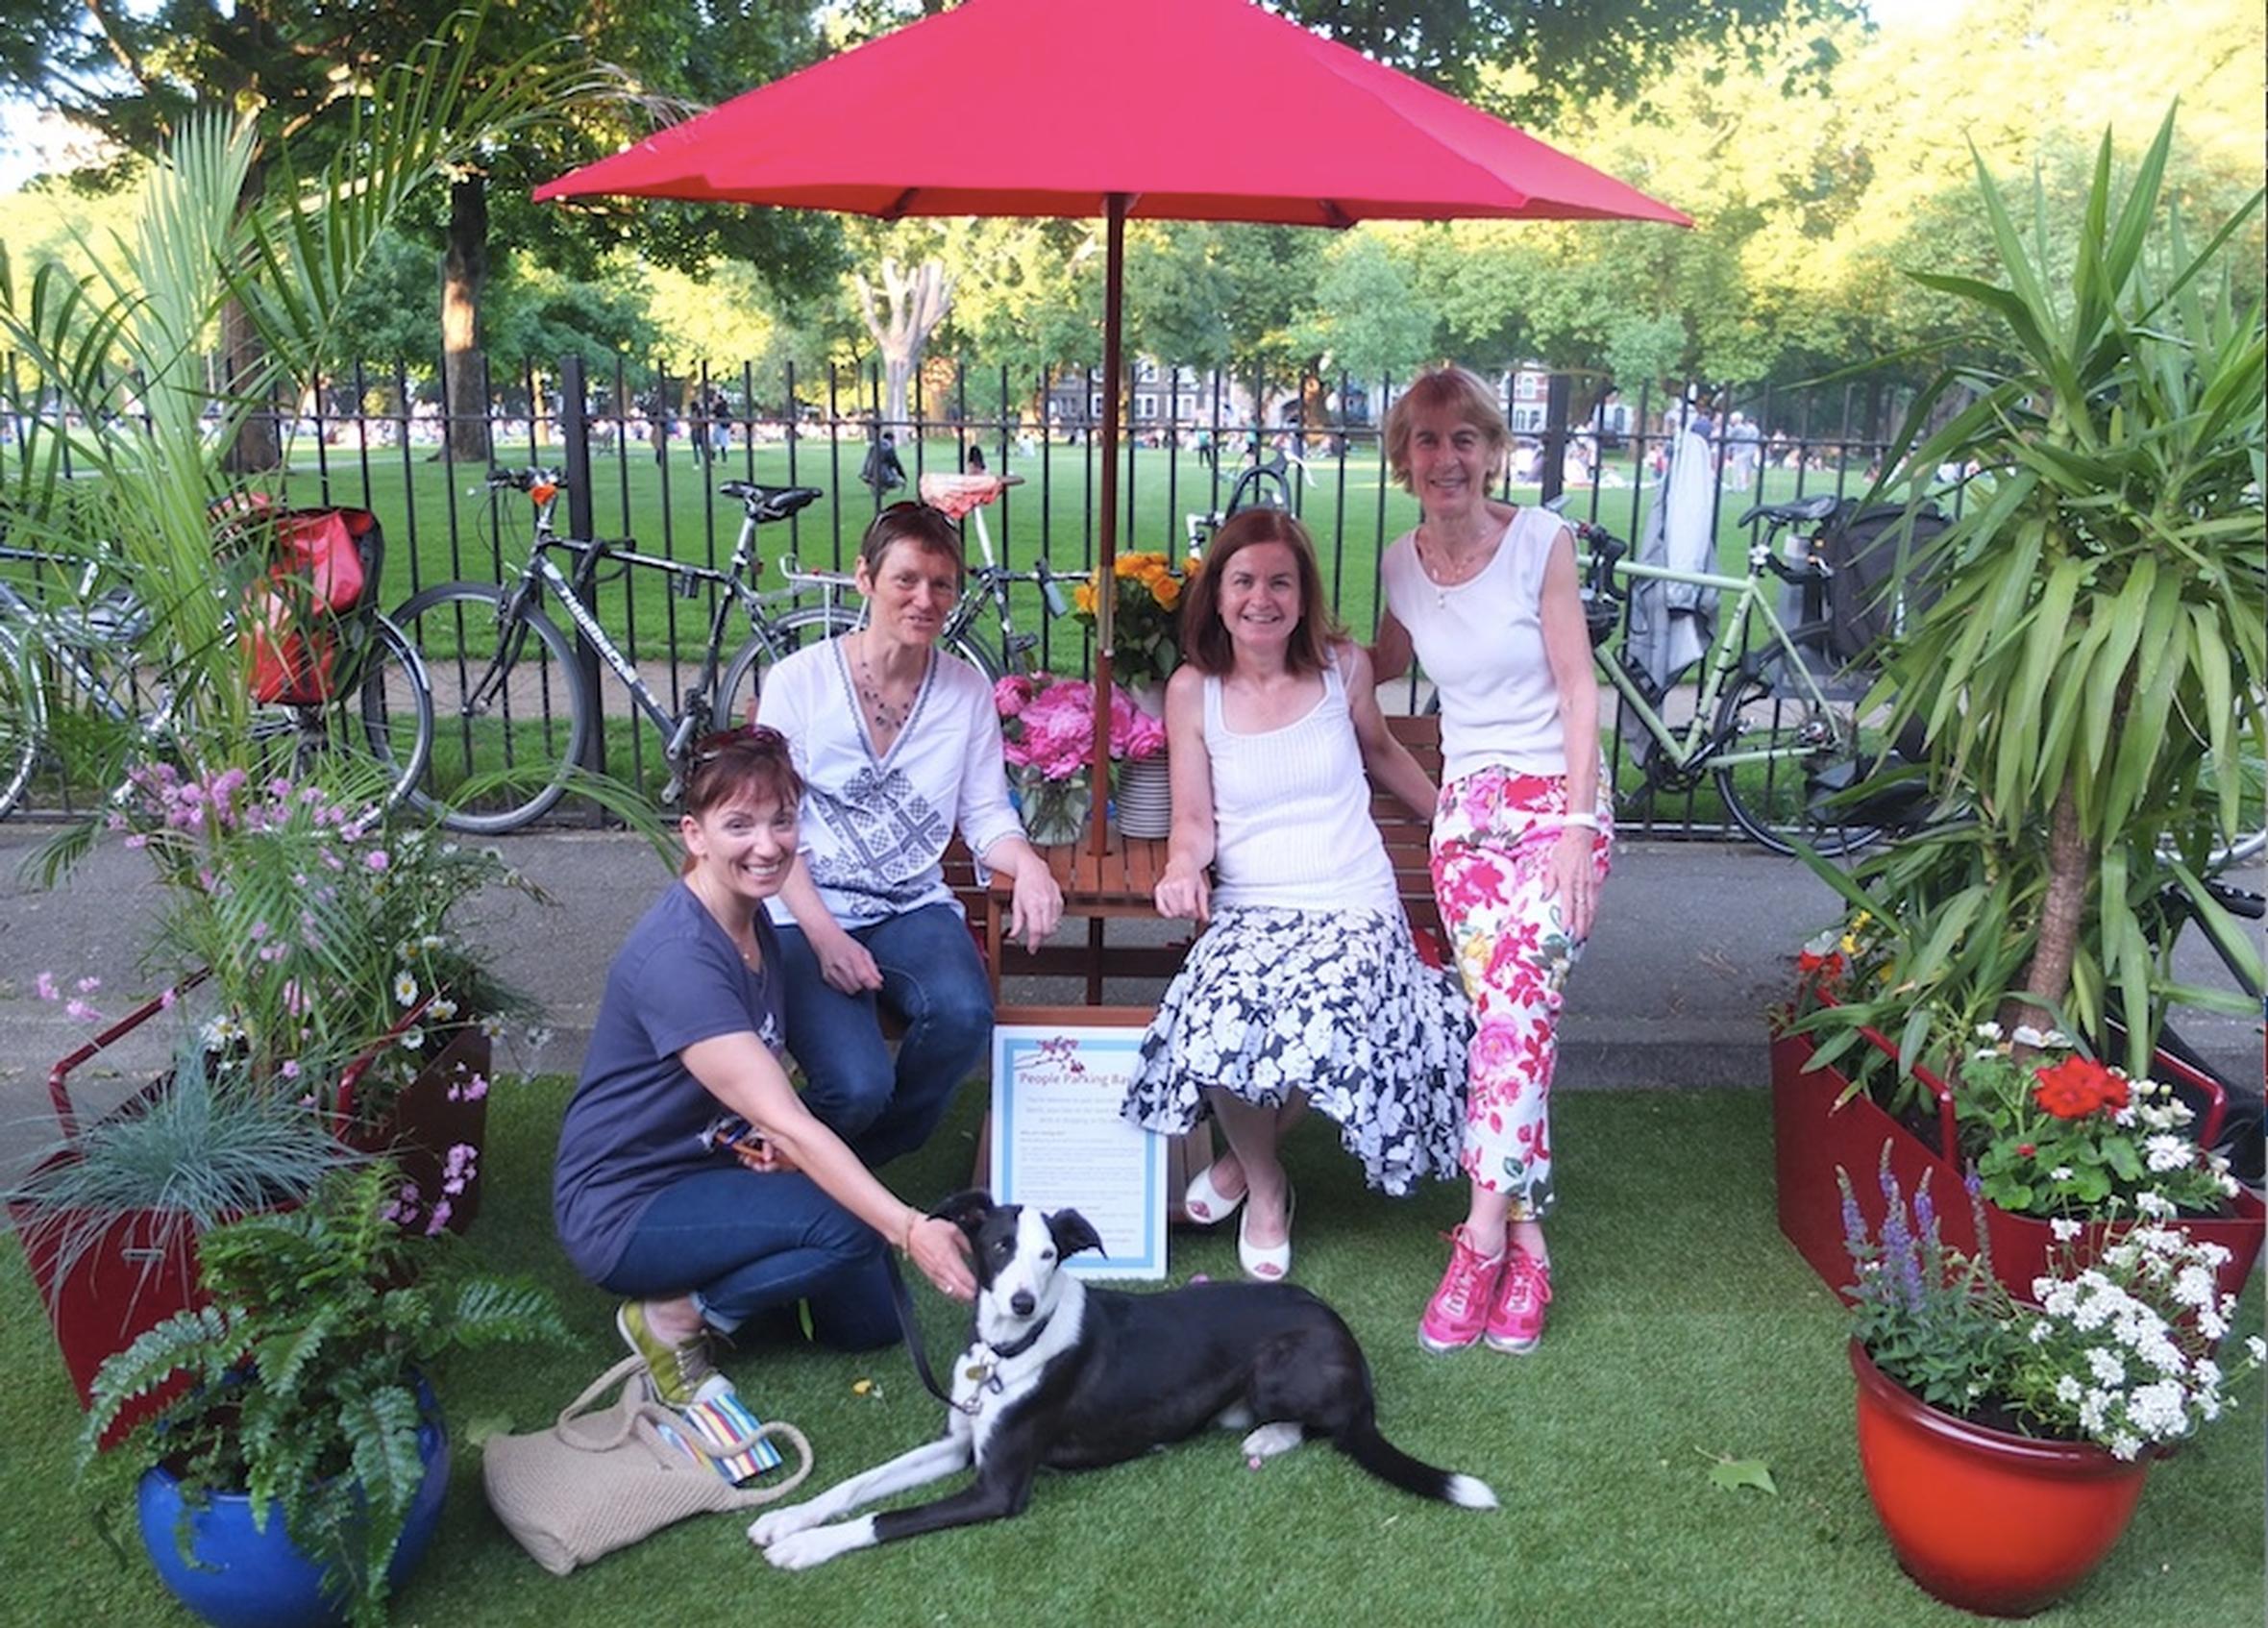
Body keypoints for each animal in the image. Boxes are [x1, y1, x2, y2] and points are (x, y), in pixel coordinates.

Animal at [748, 1188, 1488, 1578]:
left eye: (1050, 1255)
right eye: (998, 1248)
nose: (1022, 1303)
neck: (1014, 1349)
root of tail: (1345, 1335)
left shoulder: (997, 1488)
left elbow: (885, 1517)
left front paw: (806, 1546)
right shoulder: (961, 1443)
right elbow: (861, 1485)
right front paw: (789, 1518)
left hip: (1281, 1371)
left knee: (1337, 1426)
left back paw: (1273, 1436)